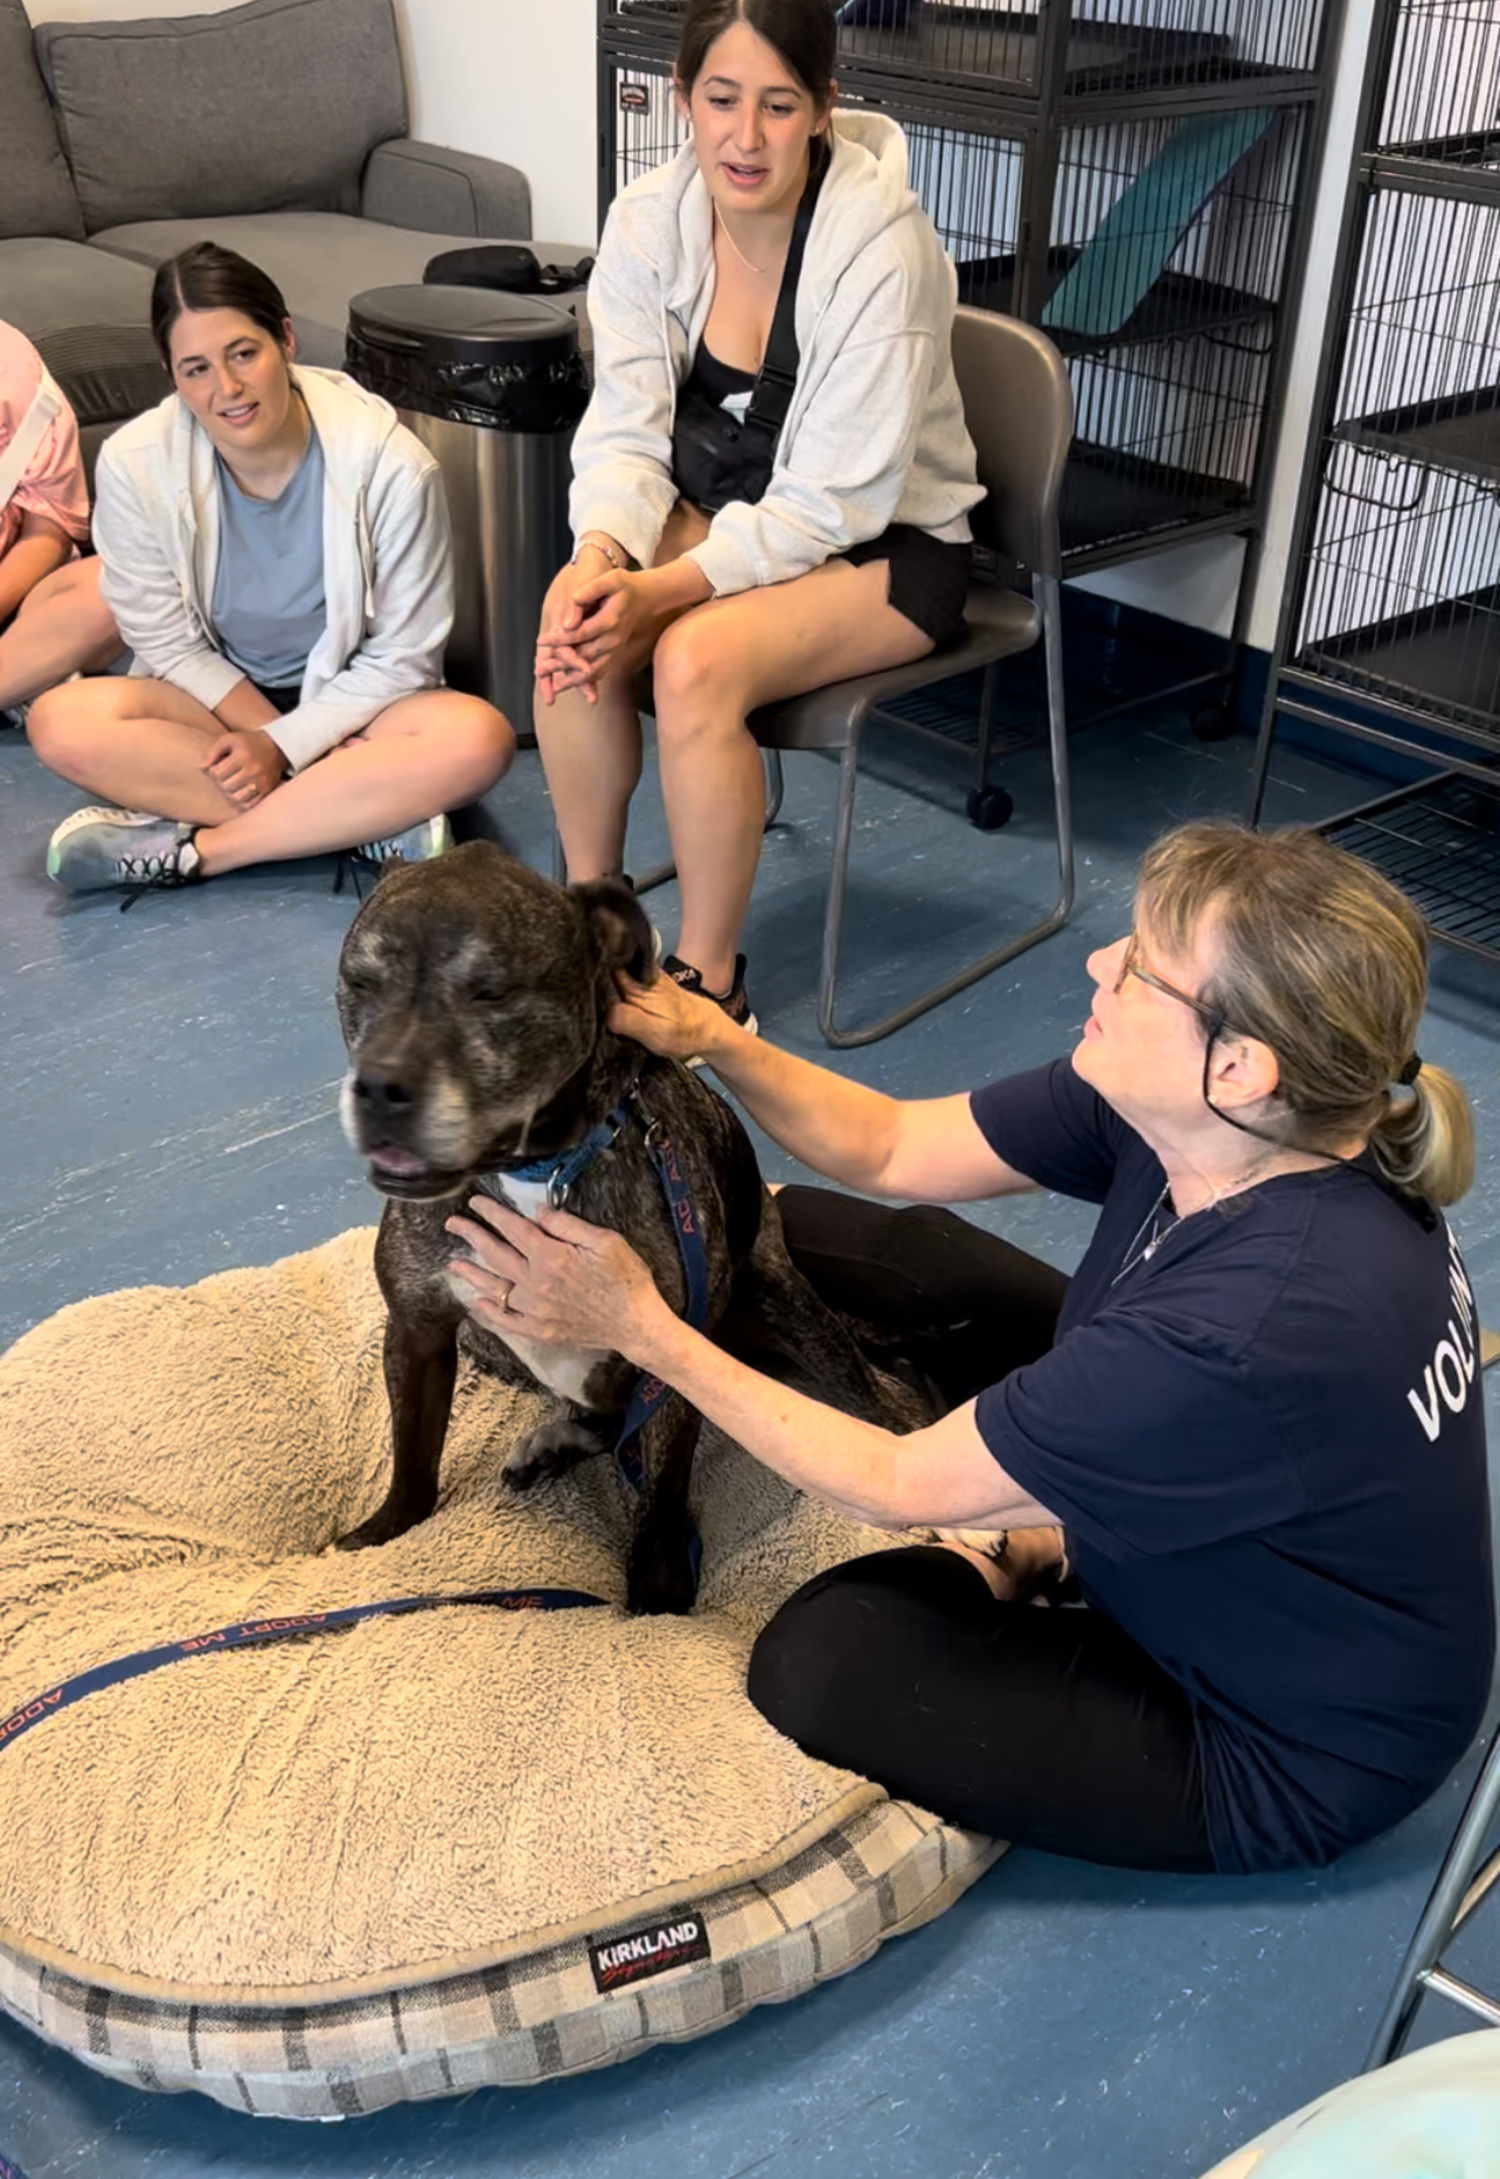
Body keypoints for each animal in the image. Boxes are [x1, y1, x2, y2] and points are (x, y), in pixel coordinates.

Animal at [333, 841, 906, 1612]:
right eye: (360, 982)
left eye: (491, 993)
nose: (380, 1086)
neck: (534, 1172)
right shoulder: (418, 1329)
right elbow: (413, 1451)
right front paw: (384, 1535)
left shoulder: (674, 1350)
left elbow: (661, 1493)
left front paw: (657, 1596)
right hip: (486, 1340)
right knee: (602, 1422)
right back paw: (554, 1445)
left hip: (785, 1300)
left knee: (884, 1399)